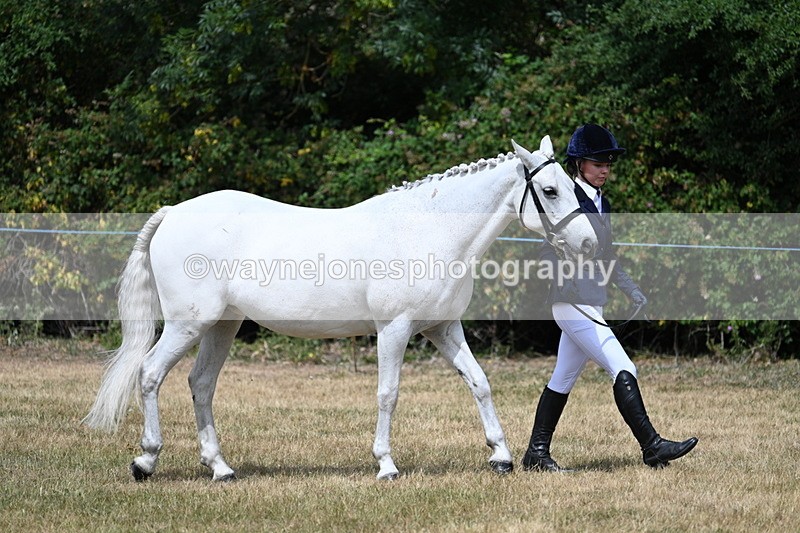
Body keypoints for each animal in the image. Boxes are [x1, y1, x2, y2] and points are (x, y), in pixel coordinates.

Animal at [83, 136, 598, 481]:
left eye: (572, 185)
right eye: (550, 191)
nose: (589, 243)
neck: (427, 229)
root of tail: (174, 211)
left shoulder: (443, 328)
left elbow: (480, 382)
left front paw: (501, 457)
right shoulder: (395, 329)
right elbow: (388, 393)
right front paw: (386, 465)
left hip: (222, 326)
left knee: (201, 384)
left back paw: (221, 468)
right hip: (188, 324)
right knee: (150, 374)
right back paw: (145, 460)